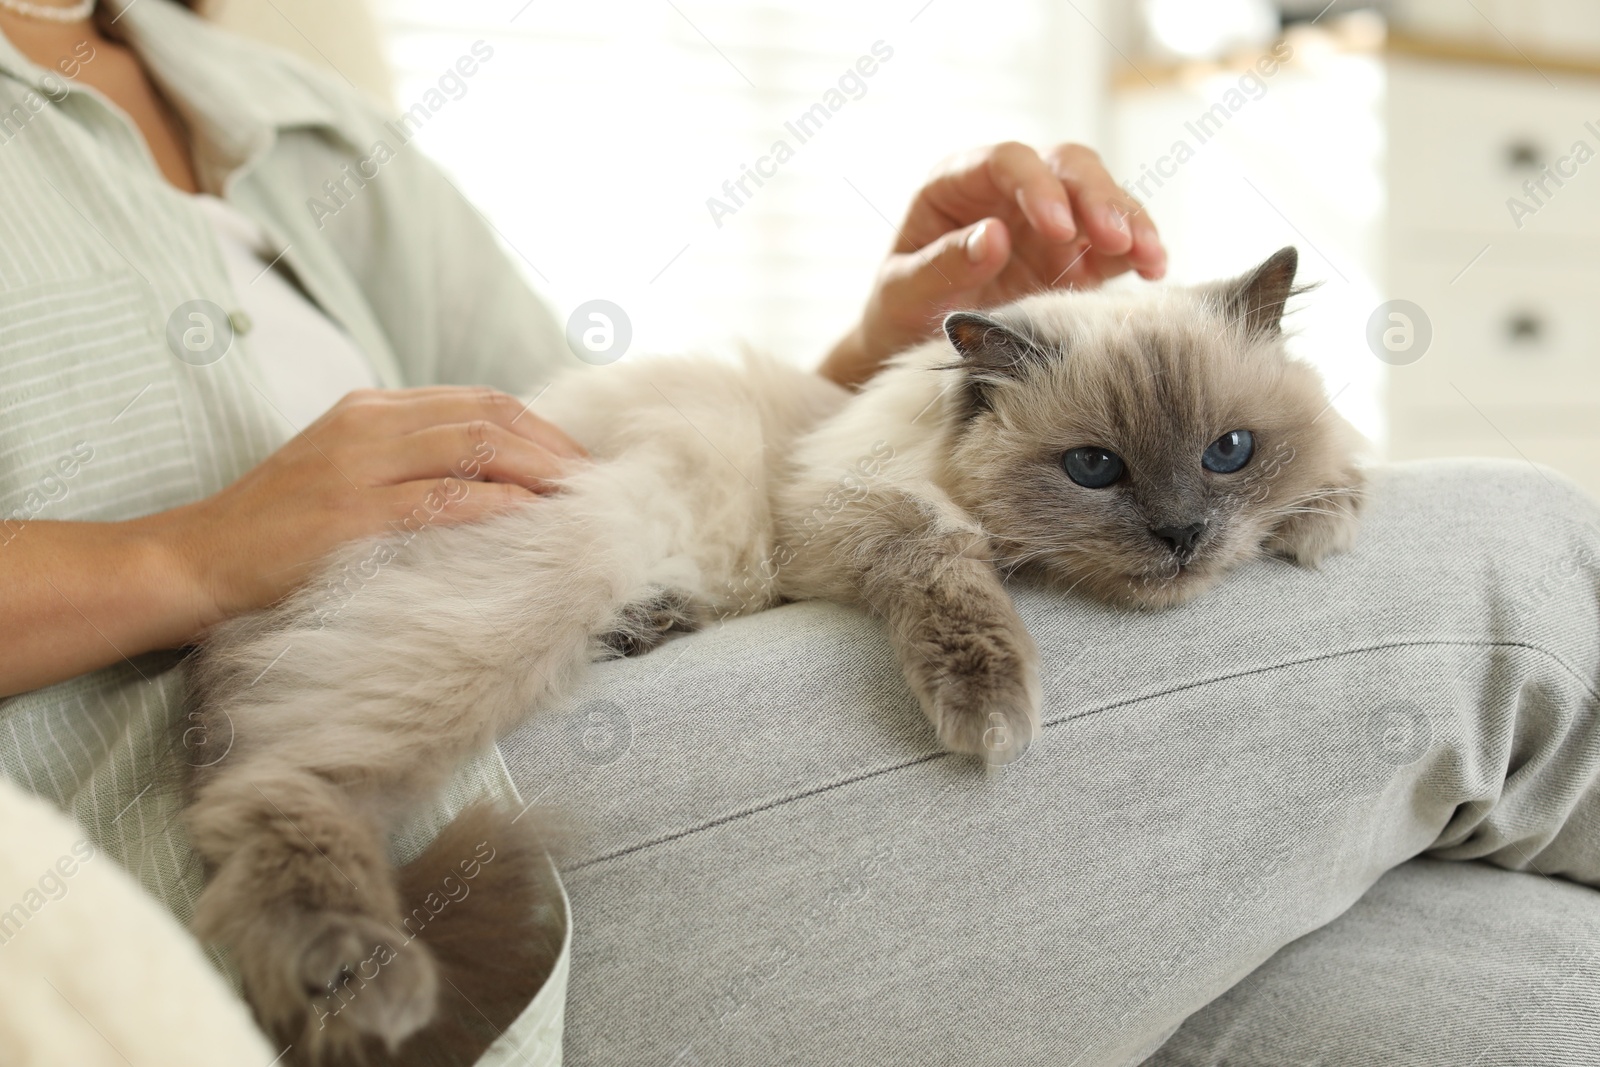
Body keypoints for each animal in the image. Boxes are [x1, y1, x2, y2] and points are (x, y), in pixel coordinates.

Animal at [187, 246, 1363, 1062]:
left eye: (1228, 452)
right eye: (1093, 468)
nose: (1182, 536)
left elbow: (1337, 470)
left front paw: (1320, 518)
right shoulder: (843, 516)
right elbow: (947, 564)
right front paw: (990, 706)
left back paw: (646, 626)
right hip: (558, 564)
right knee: (268, 784)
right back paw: (362, 974)